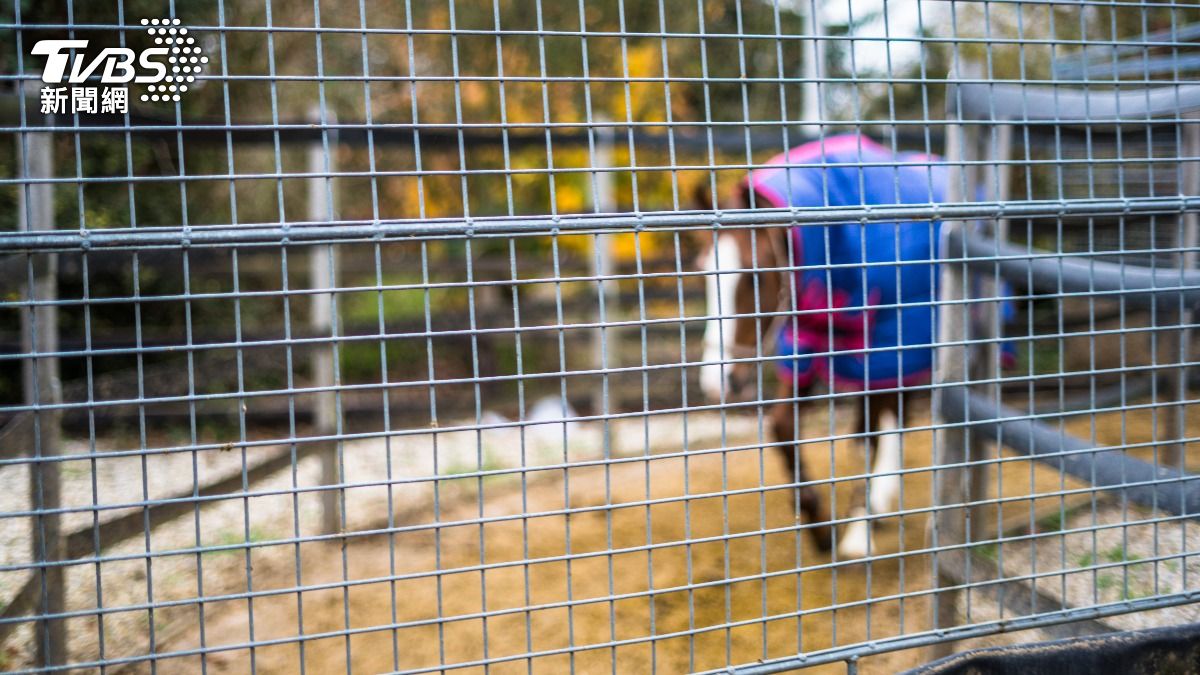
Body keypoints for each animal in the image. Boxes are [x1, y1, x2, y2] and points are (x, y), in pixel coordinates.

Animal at [696, 131, 945, 557]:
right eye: (701, 273)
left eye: (755, 275)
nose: (718, 381)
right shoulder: (802, 342)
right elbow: (781, 428)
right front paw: (818, 524)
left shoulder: (886, 341)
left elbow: (877, 435)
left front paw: (857, 532)